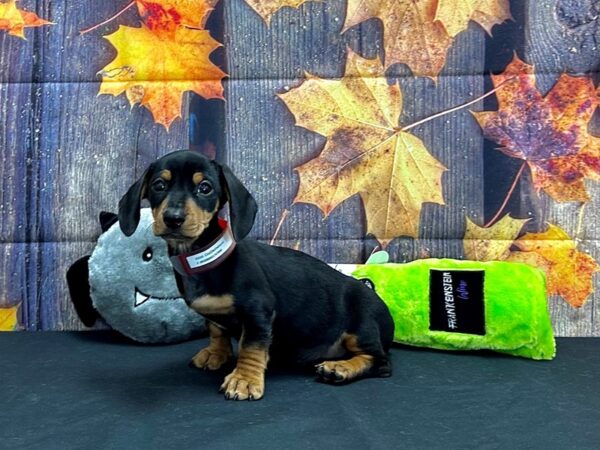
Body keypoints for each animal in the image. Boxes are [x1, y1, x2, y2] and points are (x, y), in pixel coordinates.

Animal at [119, 151, 396, 400]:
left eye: (205, 188)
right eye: (159, 185)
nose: (173, 218)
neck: (202, 257)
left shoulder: (258, 312)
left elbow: (251, 348)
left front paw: (244, 379)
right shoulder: (216, 315)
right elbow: (216, 329)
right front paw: (216, 353)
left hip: (362, 326)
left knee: (381, 362)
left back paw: (339, 368)